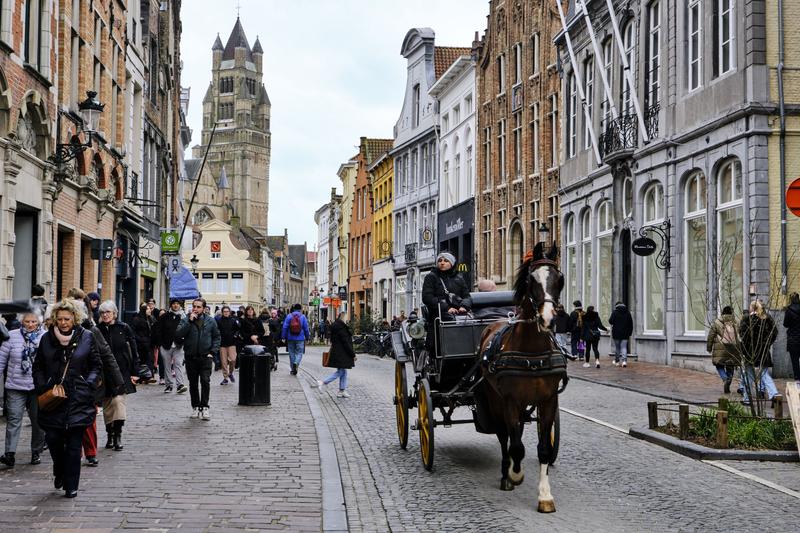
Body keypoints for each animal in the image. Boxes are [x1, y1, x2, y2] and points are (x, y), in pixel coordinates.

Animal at [478, 240, 564, 512]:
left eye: (560, 279)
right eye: (531, 280)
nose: (548, 318)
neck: (532, 351)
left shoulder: (548, 401)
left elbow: (543, 449)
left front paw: (545, 496)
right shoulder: (510, 400)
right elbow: (516, 446)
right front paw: (515, 475)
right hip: (495, 400)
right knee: (504, 435)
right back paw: (506, 476)